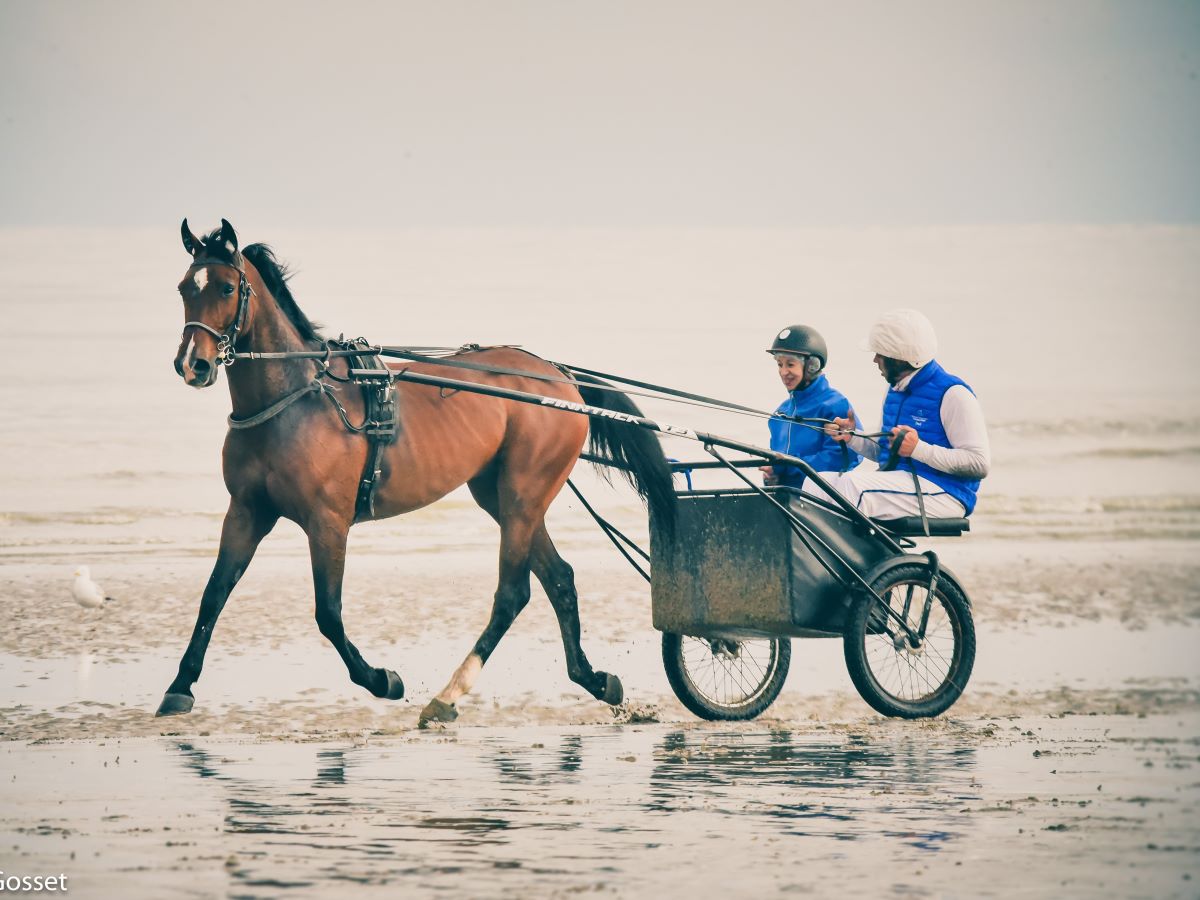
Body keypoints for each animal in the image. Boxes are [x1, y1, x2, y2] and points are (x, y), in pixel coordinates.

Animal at [157, 222, 676, 729]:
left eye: (227, 287)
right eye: (184, 287)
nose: (193, 363)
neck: (298, 399)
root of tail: (558, 376)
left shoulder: (328, 521)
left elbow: (328, 613)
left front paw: (381, 679)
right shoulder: (246, 511)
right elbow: (213, 595)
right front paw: (179, 687)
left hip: (524, 494)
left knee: (513, 593)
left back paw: (448, 696)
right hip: (501, 495)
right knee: (560, 580)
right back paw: (595, 679)